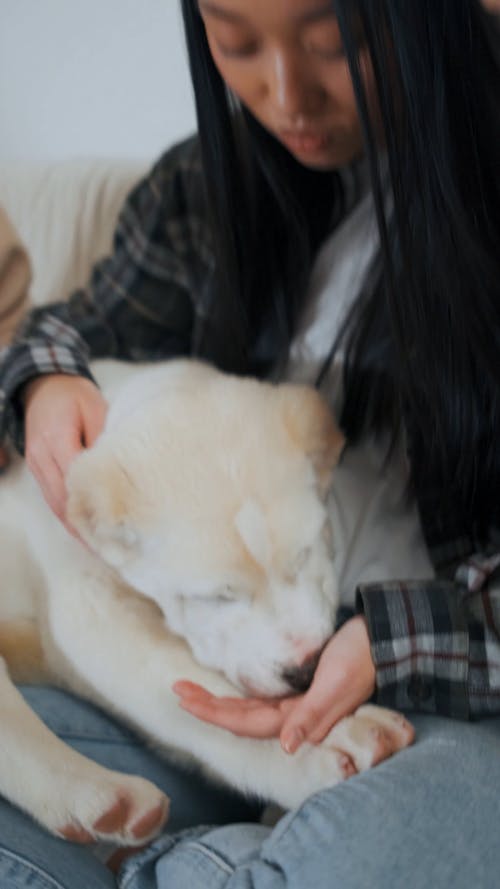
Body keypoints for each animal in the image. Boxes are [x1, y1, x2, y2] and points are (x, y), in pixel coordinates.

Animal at [0, 360, 414, 848]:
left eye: (305, 555)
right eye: (216, 596)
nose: (307, 670)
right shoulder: (91, 606)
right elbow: (181, 688)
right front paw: (319, 749)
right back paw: (97, 795)